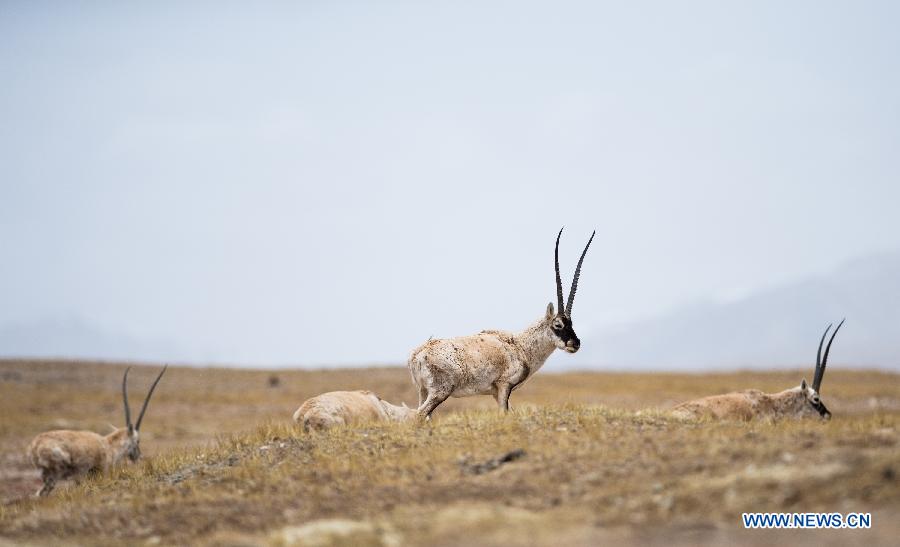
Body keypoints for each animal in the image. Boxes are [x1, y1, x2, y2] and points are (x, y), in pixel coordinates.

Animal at [27, 366, 167, 498]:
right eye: (137, 440)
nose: (139, 456)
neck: (109, 445)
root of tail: (35, 447)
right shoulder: (100, 471)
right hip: (55, 474)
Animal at [410, 228, 596, 420]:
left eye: (571, 323)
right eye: (558, 324)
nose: (575, 343)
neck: (520, 346)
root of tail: (418, 355)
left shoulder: (494, 392)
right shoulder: (503, 386)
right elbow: (505, 413)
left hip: (423, 391)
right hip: (440, 392)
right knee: (418, 414)